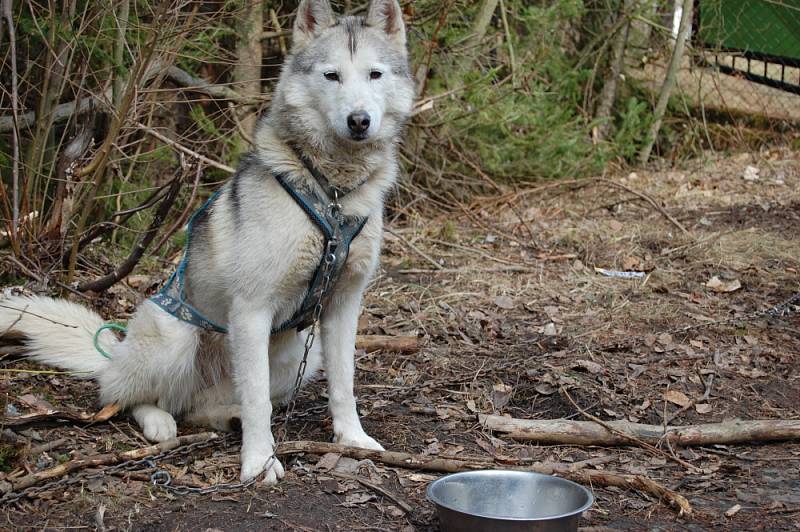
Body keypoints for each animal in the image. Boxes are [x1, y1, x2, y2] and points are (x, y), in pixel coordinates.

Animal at [0, 0, 412, 484]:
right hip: (174, 338)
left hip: (299, 358)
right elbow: (258, 403)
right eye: (332, 76)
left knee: (200, 407)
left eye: (374, 74)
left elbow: (343, 385)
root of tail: (115, 352)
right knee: (126, 398)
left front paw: (352, 439)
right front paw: (259, 462)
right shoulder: (251, 312)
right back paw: (158, 421)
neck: (331, 196)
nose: (359, 121)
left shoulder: (343, 306)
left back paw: (223, 417)